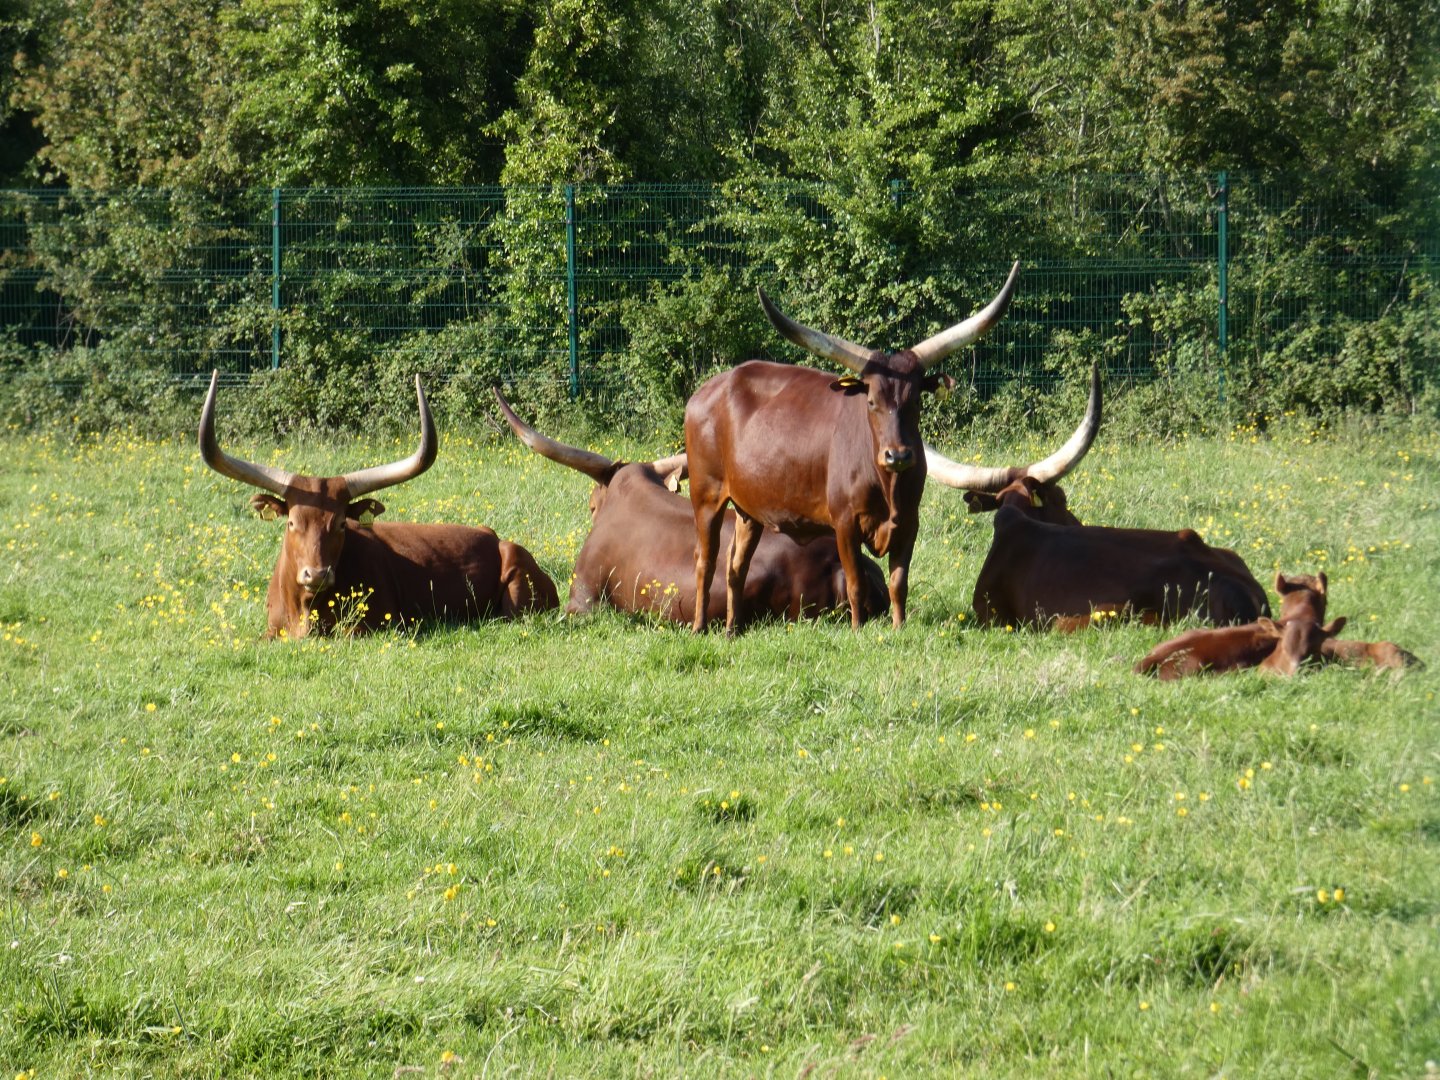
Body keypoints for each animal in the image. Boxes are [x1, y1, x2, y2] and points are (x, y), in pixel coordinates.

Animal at [685, 262, 1022, 633]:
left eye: (916, 401)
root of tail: (706, 391)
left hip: (749, 510)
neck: (888, 485)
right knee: (705, 560)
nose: (898, 455)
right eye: (871, 401)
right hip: (706, 495)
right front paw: (859, 629)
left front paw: (898, 627)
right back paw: (700, 626)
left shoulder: (909, 522)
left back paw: (732, 630)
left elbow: (899, 582)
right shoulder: (845, 522)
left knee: (736, 566)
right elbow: (855, 581)